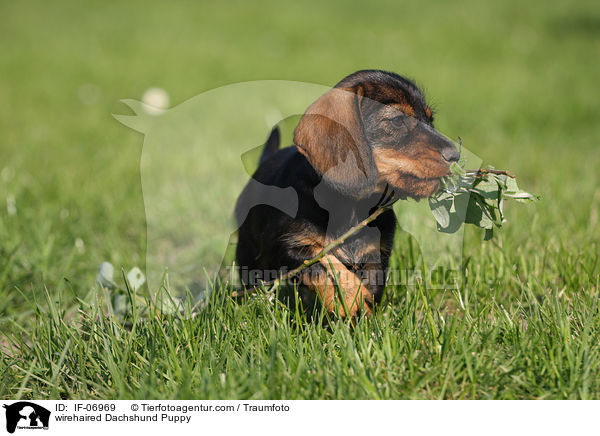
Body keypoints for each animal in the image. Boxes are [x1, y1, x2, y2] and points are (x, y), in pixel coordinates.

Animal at [234, 70, 460, 318]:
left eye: (430, 119)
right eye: (397, 120)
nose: (455, 154)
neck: (352, 207)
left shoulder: (376, 254)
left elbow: (371, 281)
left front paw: (366, 315)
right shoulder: (288, 247)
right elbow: (326, 264)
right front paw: (351, 299)